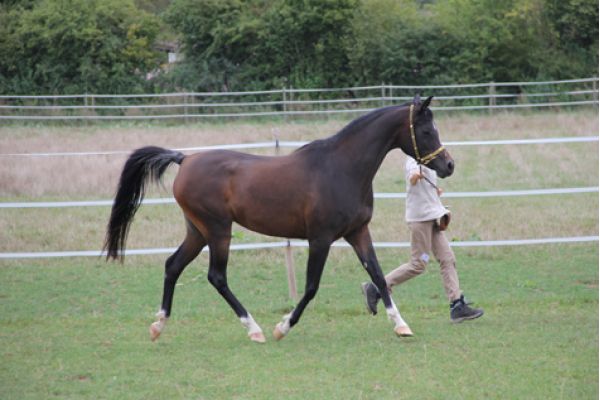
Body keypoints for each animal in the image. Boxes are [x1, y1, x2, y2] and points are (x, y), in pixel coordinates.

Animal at [103, 94, 454, 343]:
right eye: (426, 130)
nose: (448, 165)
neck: (341, 168)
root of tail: (185, 159)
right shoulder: (320, 238)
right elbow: (311, 287)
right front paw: (282, 327)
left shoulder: (357, 232)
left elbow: (379, 276)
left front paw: (402, 326)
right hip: (218, 231)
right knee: (217, 277)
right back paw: (254, 329)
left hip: (197, 231)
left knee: (172, 266)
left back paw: (158, 326)